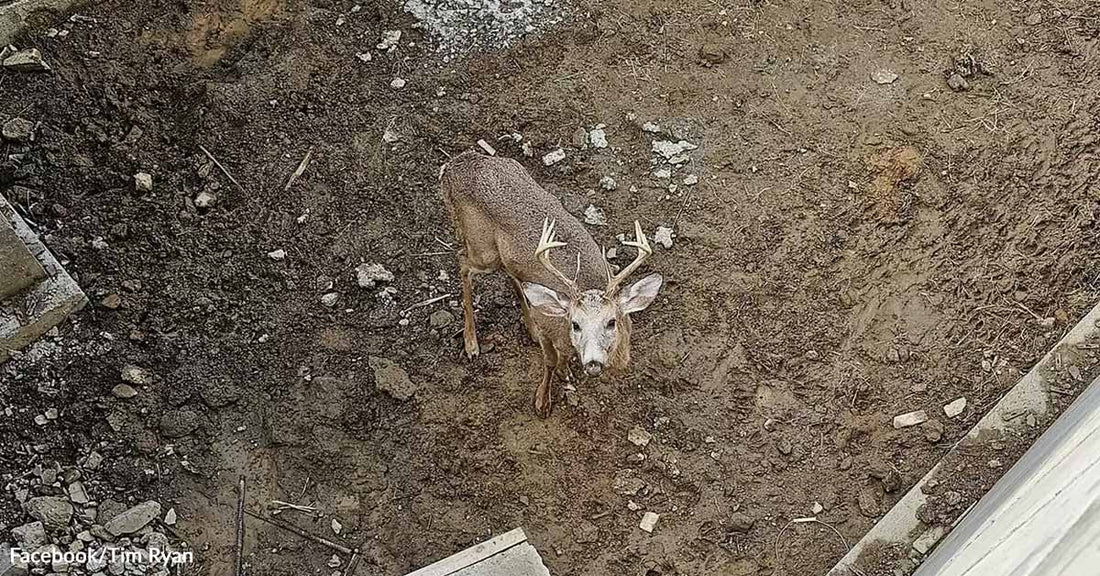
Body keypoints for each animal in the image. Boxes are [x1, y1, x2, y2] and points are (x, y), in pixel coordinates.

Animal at [440, 151, 663, 418]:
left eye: (612, 322)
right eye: (575, 324)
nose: (593, 363)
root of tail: (453, 165)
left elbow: (561, 357)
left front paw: (565, 373)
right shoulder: (549, 325)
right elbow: (550, 361)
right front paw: (542, 401)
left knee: (511, 275)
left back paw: (528, 327)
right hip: (483, 249)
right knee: (462, 262)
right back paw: (471, 343)